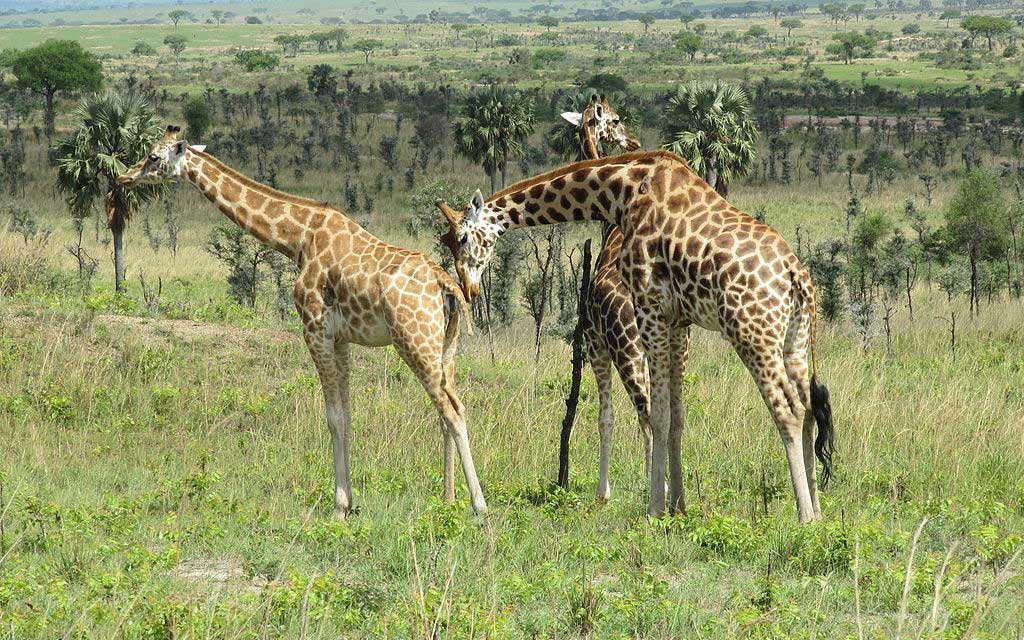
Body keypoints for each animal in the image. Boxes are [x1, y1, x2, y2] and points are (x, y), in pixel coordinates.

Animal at [118, 125, 487, 520]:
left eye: (153, 156)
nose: (124, 176)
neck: (298, 240)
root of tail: (446, 284)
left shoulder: (314, 329)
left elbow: (333, 417)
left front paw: (339, 507)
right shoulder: (340, 338)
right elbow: (347, 414)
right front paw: (349, 501)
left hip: (414, 341)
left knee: (452, 410)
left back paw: (479, 507)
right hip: (446, 346)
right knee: (452, 408)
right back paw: (449, 500)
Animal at [436, 150, 835, 524]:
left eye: (462, 238)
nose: (468, 289)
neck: (622, 193)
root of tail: (796, 276)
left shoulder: (649, 305)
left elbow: (656, 415)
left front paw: (654, 508)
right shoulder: (678, 320)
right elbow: (676, 414)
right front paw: (678, 505)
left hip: (751, 332)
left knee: (788, 409)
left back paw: (803, 514)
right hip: (794, 340)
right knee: (809, 408)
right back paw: (818, 510)